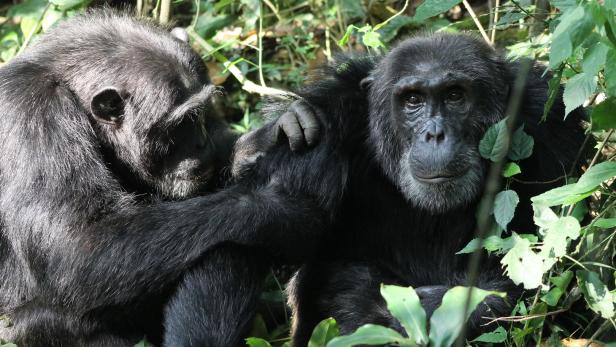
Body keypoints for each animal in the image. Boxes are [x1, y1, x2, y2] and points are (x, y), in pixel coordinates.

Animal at [0, 9, 328, 346]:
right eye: (181, 123)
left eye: (200, 113)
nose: (201, 142)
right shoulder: (34, 120)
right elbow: (77, 245)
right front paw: (278, 212)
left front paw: (267, 137)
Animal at [242, 34, 588, 346]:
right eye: (413, 101)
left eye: (455, 95)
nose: (435, 134)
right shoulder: (327, 114)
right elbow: (299, 228)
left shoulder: (550, 120)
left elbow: (544, 262)